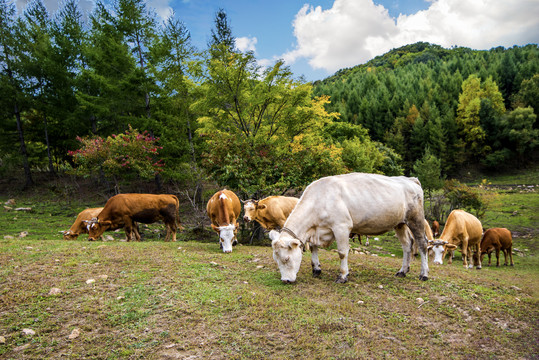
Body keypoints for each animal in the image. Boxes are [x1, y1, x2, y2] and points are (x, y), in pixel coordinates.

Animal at [270, 172, 430, 284]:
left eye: (286, 258)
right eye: (276, 259)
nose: (285, 280)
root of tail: (409, 179)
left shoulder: (342, 226)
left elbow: (342, 252)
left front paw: (342, 276)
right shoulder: (315, 230)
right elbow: (314, 248)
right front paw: (316, 269)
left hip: (416, 219)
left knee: (422, 244)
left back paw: (424, 274)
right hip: (400, 223)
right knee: (407, 245)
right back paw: (403, 271)